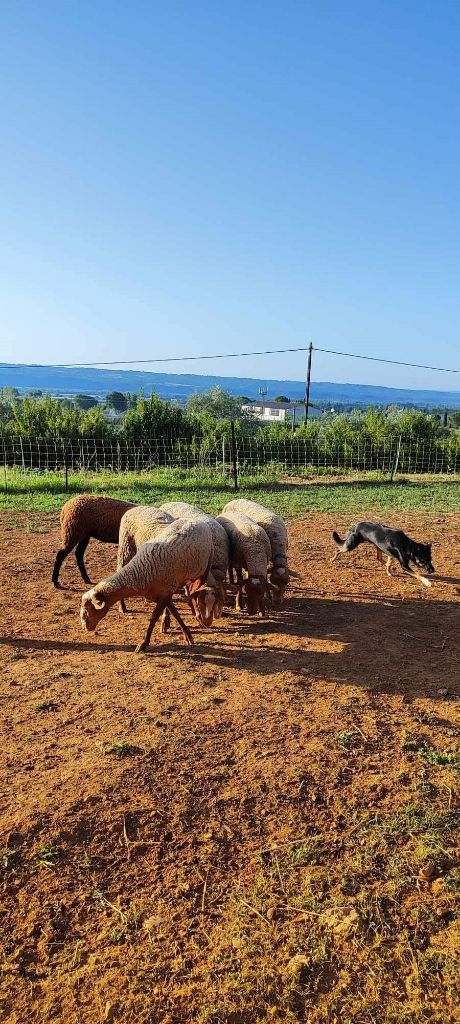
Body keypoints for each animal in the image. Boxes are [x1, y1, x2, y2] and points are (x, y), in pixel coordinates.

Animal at [80, 516, 213, 651]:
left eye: (88, 609)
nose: (85, 627)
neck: (140, 573)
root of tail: (194, 518)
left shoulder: (165, 593)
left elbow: (154, 617)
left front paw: (143, 643)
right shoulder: (163, 594)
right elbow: (175, 613)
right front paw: (187, 635)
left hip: (204, 567)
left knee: (197, 589)